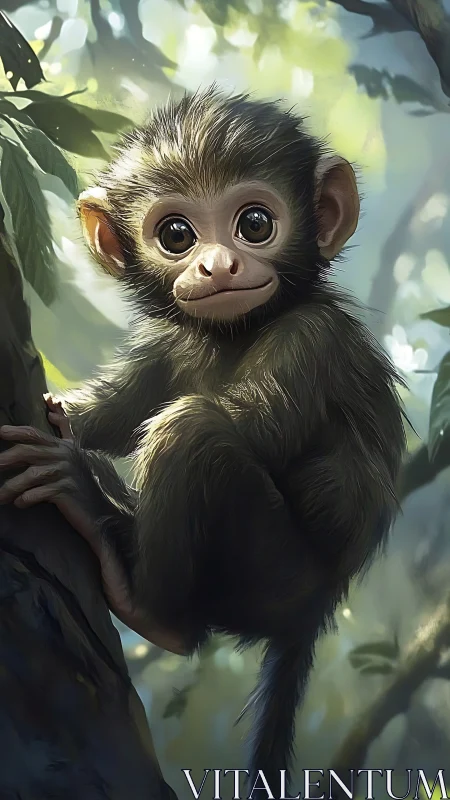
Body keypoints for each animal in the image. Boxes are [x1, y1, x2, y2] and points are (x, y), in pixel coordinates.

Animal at [0, 86, 406, 793]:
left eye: (255, 223)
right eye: (176, 235)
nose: (218, 264)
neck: (236, 330)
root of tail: (315, 610)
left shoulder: (312, 340)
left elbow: (251, 429)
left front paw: (81, 467)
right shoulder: (168, 340)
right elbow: (114, 411)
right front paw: (64, 412)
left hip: (273, 575)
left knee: (190, 433)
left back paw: (139, 588)